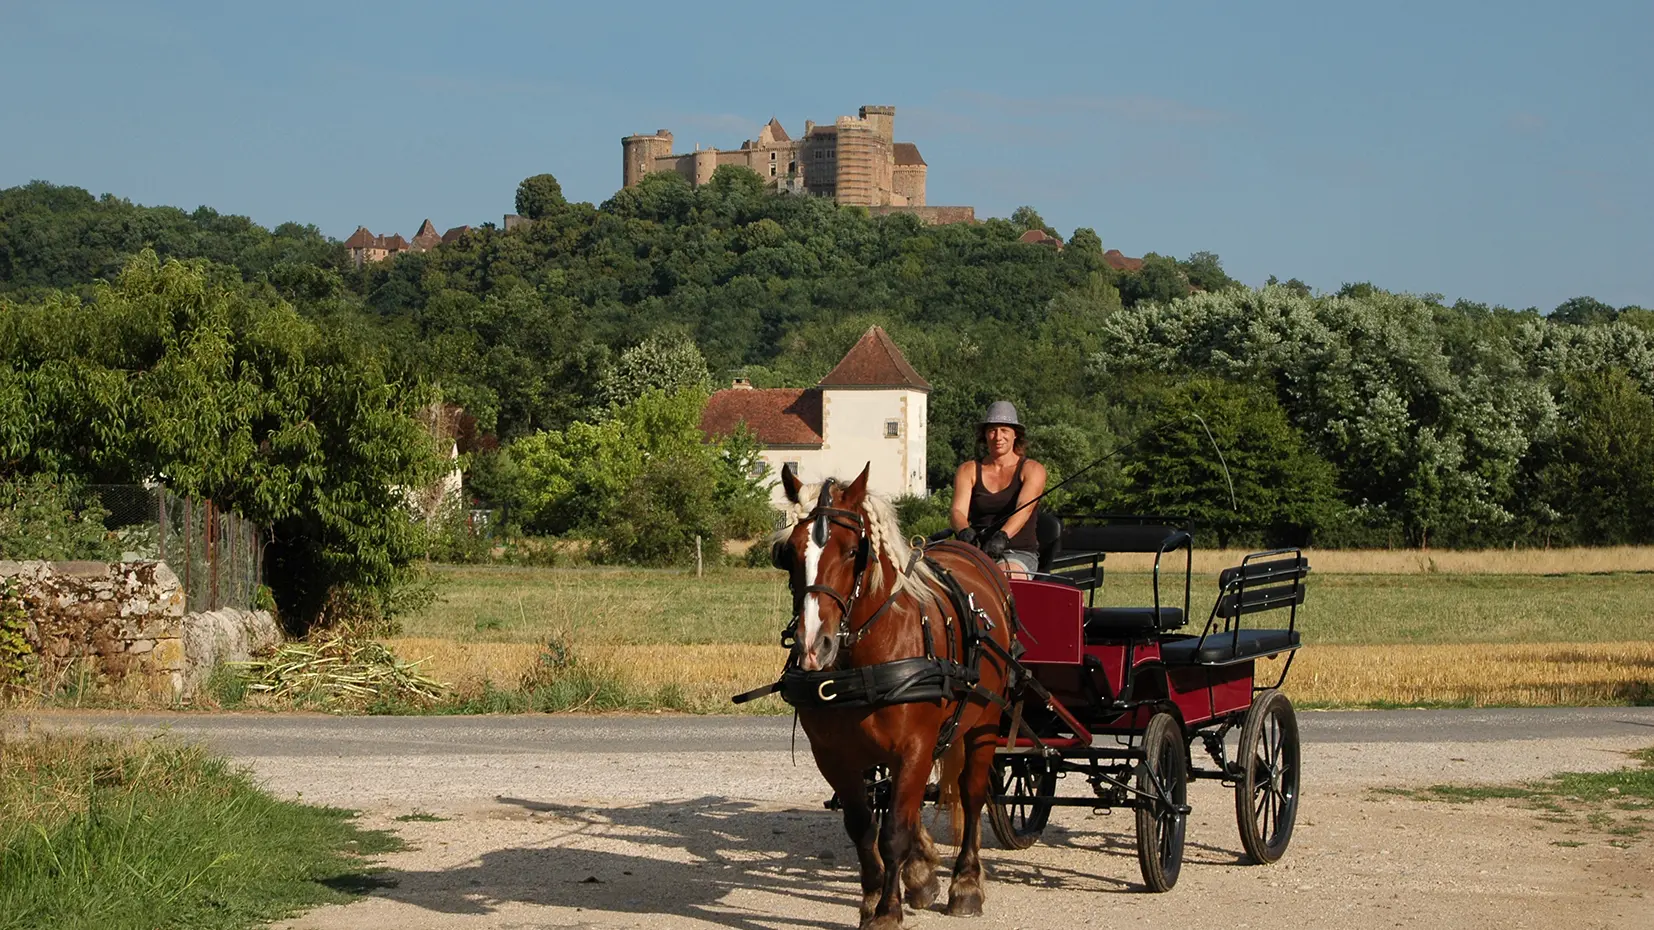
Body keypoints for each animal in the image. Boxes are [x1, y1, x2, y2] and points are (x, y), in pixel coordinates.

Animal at [767, 463, 1012, 926]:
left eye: (852, 551)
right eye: (788, 553)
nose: (813, 646)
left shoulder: (914, 746)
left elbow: (894, 831)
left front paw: (887, 910)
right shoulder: (833, 755)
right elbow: (863, 826)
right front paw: (874, 896)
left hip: (984, 722)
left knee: (972, 795)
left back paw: (966, 883)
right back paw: (922, 872)